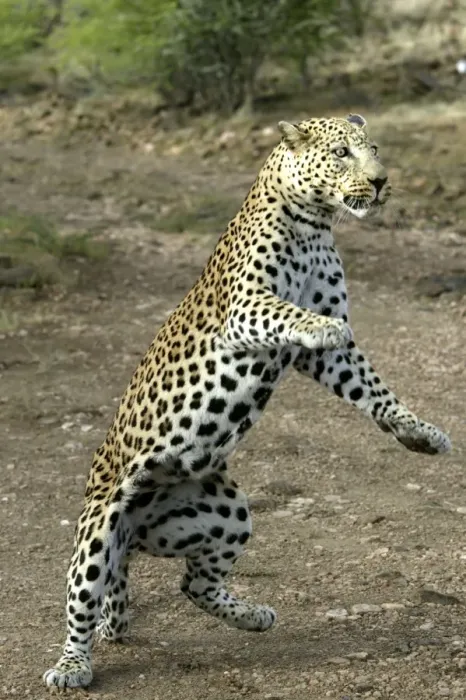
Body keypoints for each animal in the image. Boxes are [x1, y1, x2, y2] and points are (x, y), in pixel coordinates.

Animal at [44, 113, 451, 689]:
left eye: (373, 148)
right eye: (343, 154)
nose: (380, 181)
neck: (314, 224)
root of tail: (134, 539)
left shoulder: (328, 358)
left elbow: (371, 387)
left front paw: (420, 433)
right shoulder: (245, 309)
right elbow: (292, 313)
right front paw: (323, 326)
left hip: (229, 512)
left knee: (193, 583)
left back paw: (253, 615)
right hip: (98, 529)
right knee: (81, 604)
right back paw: (71, 665)